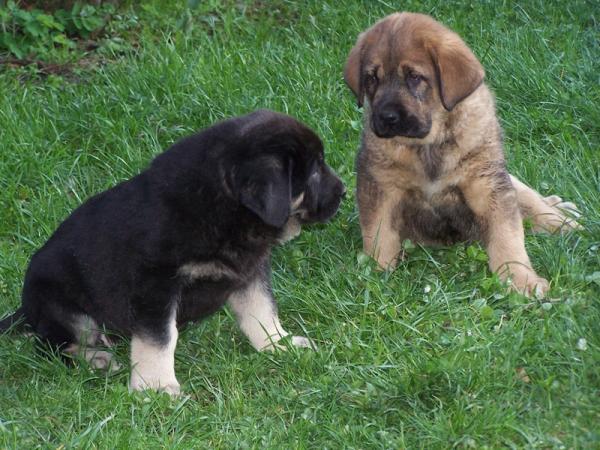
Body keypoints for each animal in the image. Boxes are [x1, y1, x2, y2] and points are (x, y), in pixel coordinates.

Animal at [0, 110, 344, 396]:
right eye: (314, 172)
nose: (342, 191)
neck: (224, 207)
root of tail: (25, 310)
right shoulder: (156, 283)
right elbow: (160, 337)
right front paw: (155, 386)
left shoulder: (250, 271)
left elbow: (262, 311)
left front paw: (278, 344)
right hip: (65, 307)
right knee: (51, 347)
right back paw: (96, 360)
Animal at [344, 12, 584, 298]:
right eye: (372, 78)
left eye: (414, 77)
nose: (386, 117)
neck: (428, 146)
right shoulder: (380, 185)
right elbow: (378, 234)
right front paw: (375, 275)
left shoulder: (488, 185)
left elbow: (508, 236)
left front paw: (520, 279)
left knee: (531, 201)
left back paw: (563, 218)